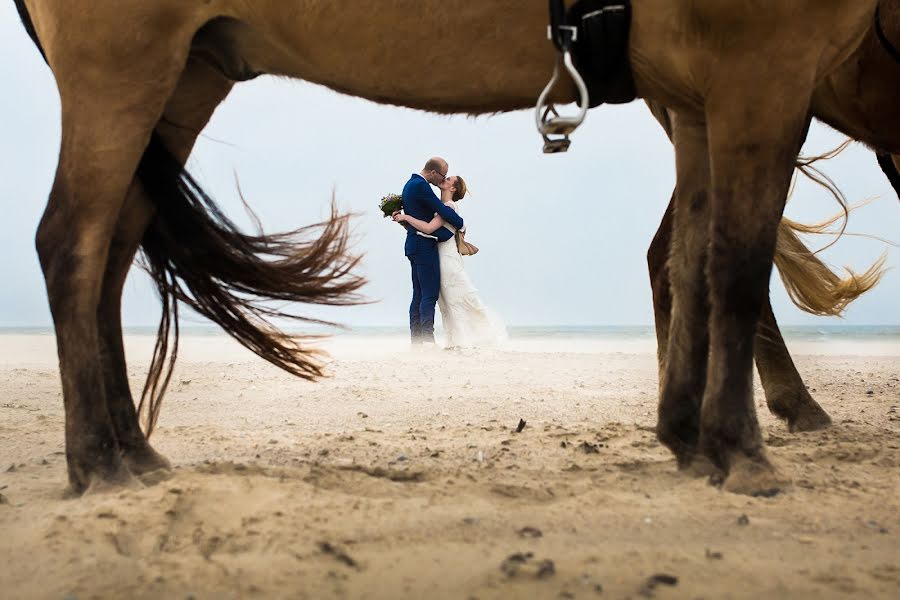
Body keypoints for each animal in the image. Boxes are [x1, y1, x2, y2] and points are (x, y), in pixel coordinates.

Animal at [12, 1, 884, 496]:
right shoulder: (760, 70)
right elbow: (737, 258)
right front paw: (740, 450)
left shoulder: (699, 96)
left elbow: (696, 258)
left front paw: (695, 440)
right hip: (121, 67)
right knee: (72, 244)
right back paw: (99, 461)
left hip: (186, 73)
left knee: (113, 252)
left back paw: (132, 451)